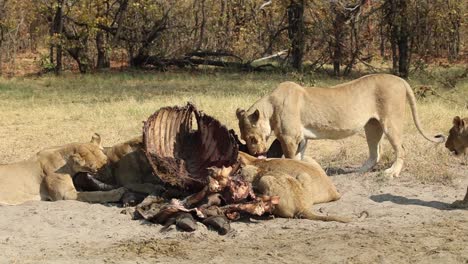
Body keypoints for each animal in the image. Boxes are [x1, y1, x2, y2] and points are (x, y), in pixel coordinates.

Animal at [236, 73, 444, 178]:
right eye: (243, 138)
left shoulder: (290, 138)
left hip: (390, 122)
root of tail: (401, 80)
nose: (255, 153)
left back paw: (392, 173)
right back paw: (358, 171)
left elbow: (291, 159)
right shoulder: (302, 138)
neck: (270, 107)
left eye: (252, 138)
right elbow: (300, 158)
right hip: (372, 126)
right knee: (375, 153)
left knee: (401, 149)